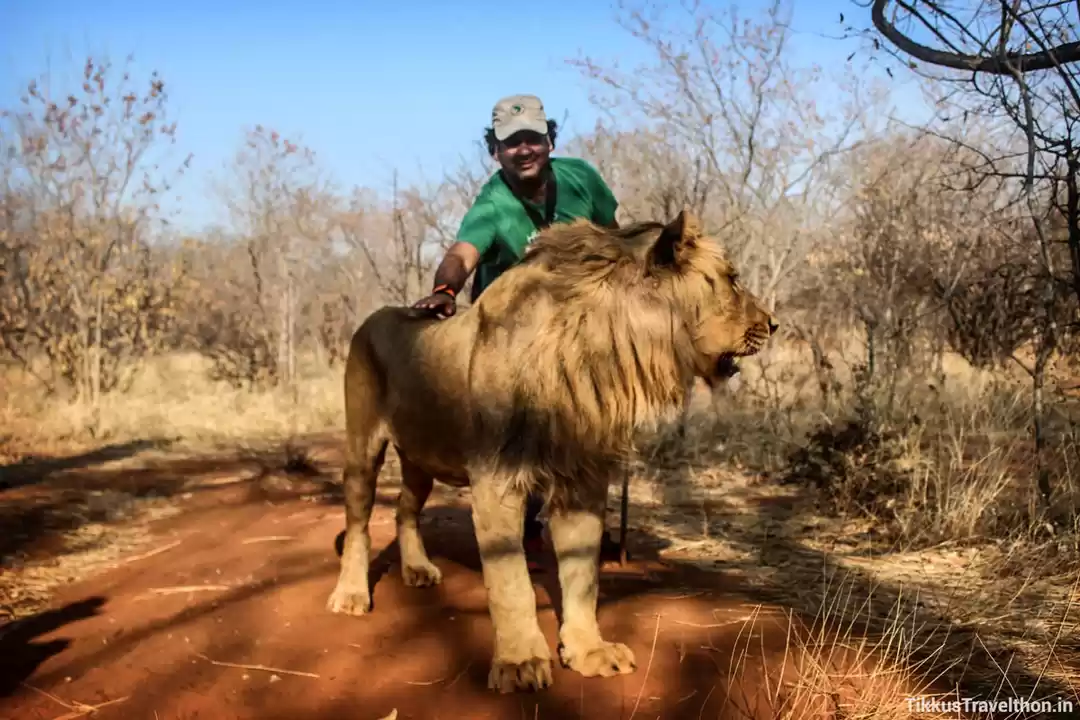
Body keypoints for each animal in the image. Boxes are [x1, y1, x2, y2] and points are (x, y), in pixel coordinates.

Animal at [326, 209, 778, 693]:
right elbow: (510, 582)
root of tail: (375, 315)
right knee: (358, 524)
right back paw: (350, 593)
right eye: (732, 279)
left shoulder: (583, 480)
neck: (603, 354)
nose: (774, 324)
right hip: (363, 448)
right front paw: (520, 661)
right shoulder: (497, 479)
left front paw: (589, 651)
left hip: (421, 458)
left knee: (405, 511)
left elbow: (582, 577)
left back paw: (417, 570)